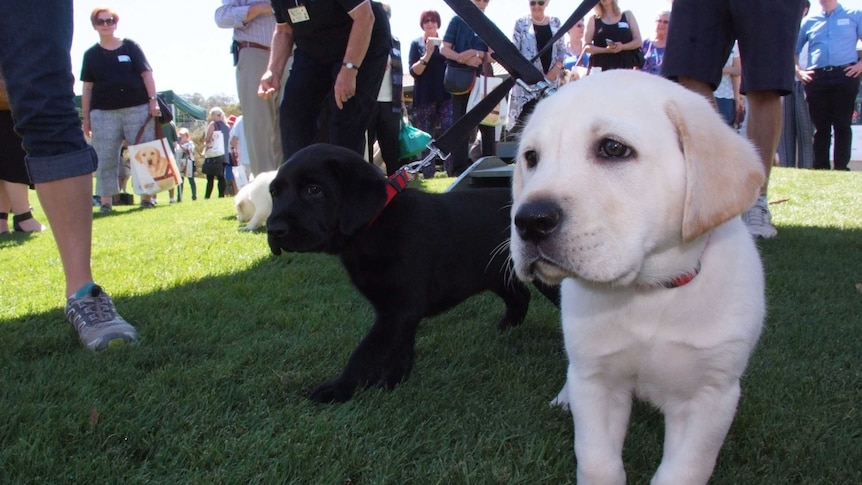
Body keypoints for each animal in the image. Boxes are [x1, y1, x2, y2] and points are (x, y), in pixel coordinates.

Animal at [266, 143, 556, 400]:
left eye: (314, 190)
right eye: (274, 193)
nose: (273, 230)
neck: (374, 226)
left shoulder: (398, 309)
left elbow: (367, 352)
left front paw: (338, 389)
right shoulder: (397, 311)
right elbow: (398, 347)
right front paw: (393, 382)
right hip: (494, 272)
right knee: (520, 296)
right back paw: (506, 328)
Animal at [510, 69, 768, 484]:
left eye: (613, 148)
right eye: (531, 158)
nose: (530, 220)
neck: (648, 289)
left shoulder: (709, 397)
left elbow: (682, 471)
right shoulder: (597, 382)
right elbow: (597, 462)